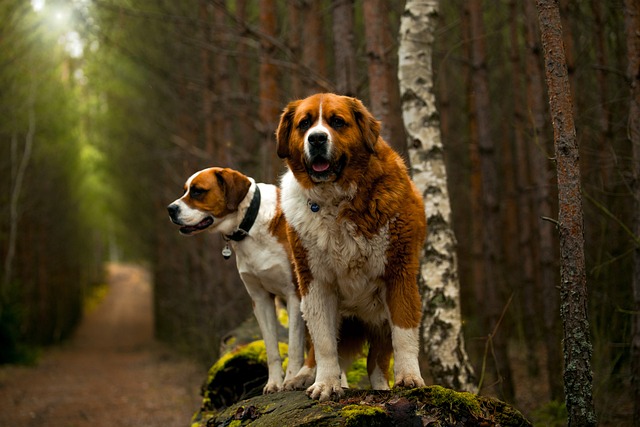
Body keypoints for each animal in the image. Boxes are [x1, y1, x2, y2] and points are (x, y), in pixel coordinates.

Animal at [168, 167, 312, 394]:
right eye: (185, 191)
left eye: (198, 191)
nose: (170, 209)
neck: (250, 225)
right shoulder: (260, 300)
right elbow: (271, 348)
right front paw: (273, 383)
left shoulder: (294, 295)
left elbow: (294, 347)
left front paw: (289, 380)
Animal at [274, 93, 424, 402]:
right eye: (304, 124)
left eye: (337, 122)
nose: (317, 138)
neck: (335, 199)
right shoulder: (314, 281)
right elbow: (324, 342)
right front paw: (325, 384)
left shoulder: (399, 272)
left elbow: (404, 332)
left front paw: (409, 378)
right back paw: (303, 376)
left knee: (376, 363)